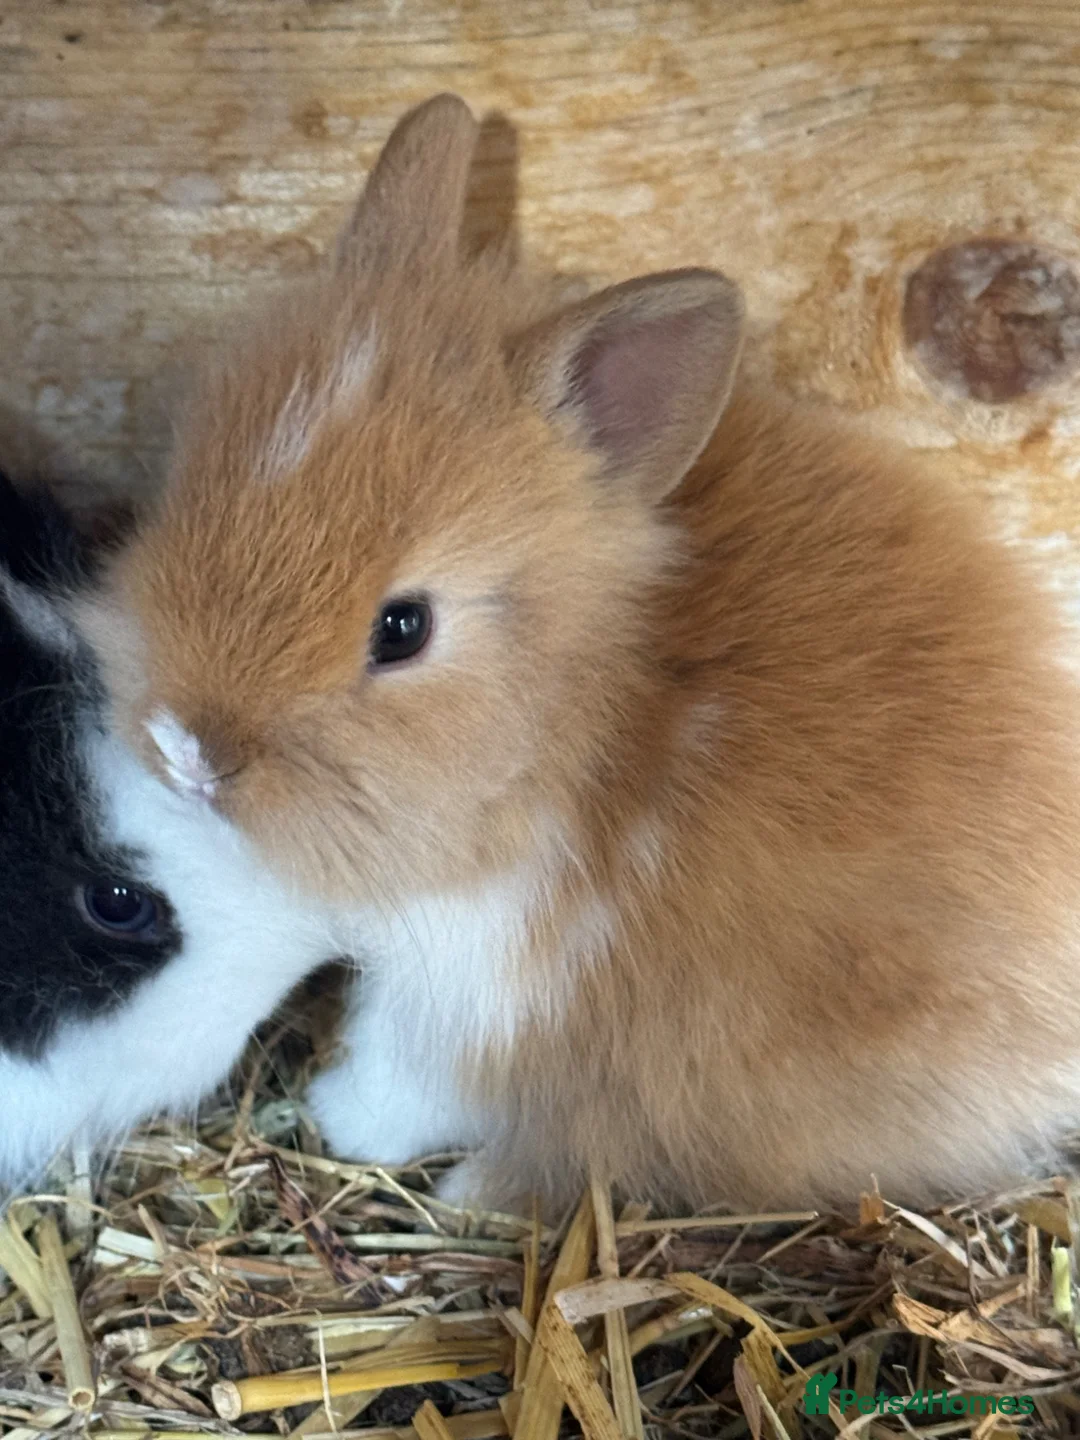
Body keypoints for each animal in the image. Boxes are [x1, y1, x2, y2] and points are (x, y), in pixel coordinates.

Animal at [77, 92, 1080, 1215]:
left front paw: (341, 1117)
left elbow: (406, 1077)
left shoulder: (478, 983)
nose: (187, 748)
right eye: (182, 489)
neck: (577, 706)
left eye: (403, 628)